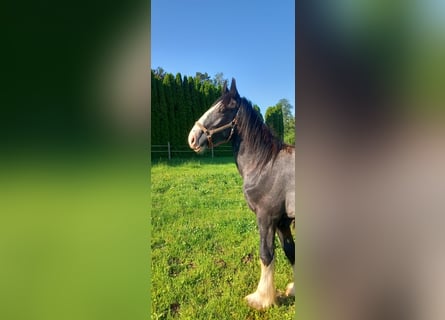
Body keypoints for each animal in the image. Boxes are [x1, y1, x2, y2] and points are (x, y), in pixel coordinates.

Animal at [187, 79, 294, 308]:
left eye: (222, 109)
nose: (192, 138)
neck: (265, 165)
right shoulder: (282, 222)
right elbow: (291, 252)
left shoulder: (266, 218)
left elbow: (266, 255)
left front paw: (262, 299)